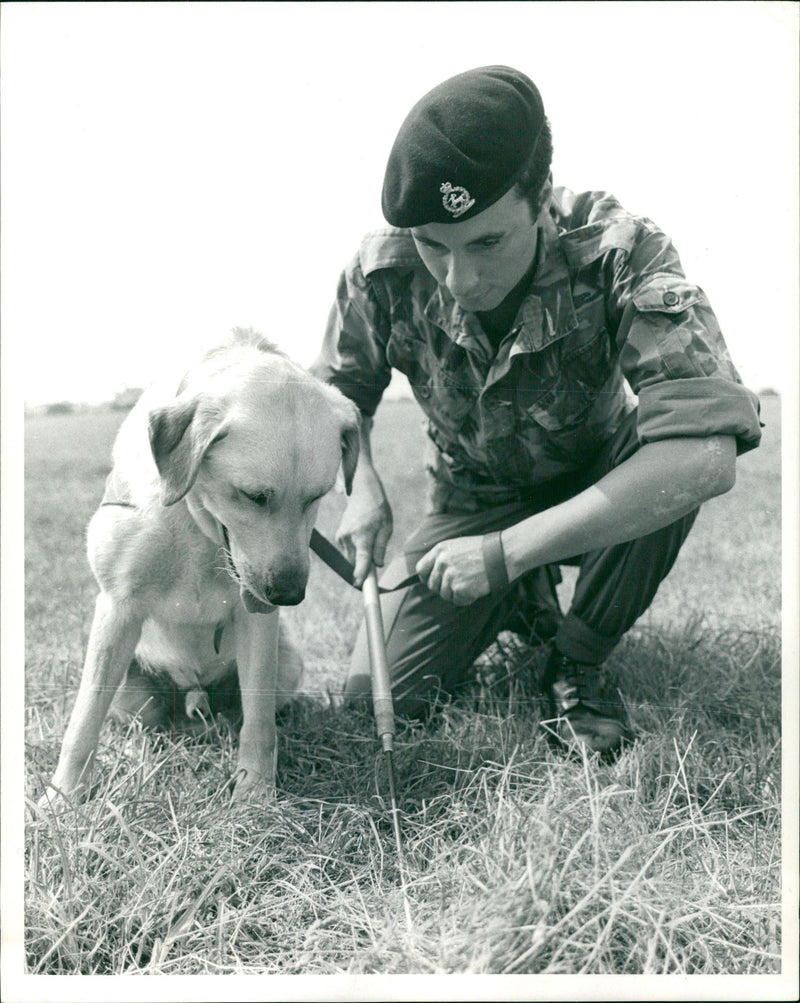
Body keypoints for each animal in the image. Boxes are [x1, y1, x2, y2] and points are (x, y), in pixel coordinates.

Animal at [40, 332, 360, 802]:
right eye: (252, 495)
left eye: (317, 496)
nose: (288, 595)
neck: (194, 524)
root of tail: (195, 697)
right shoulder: (118, 608)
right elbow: (83, 722)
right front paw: (63, 798)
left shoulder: (256, 623)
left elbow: (259, 722)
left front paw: (255, 791)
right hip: (131, 688)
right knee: (138, 721)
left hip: (287, 662)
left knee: (251, 712)